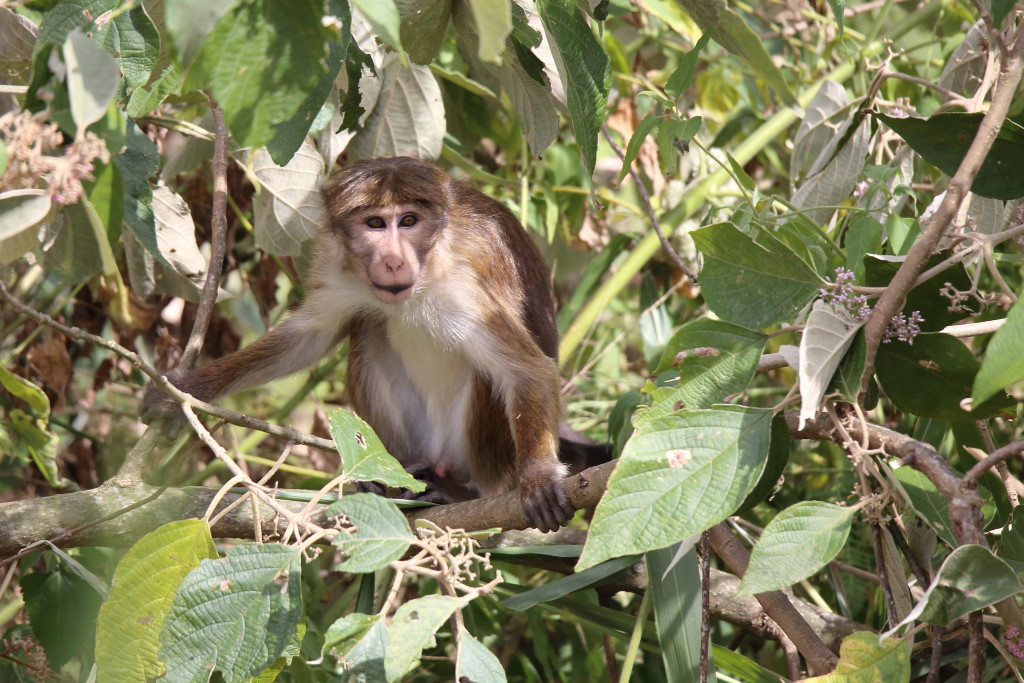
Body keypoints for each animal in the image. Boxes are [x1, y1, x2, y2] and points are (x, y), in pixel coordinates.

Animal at [140, 156, 581, 532]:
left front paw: (539, 476)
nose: (393, 260)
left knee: (485, 378)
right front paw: (186, 389)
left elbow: (525, 371)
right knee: (369, 331)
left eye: (408, 221)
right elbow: (310, 335)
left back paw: (462, 492)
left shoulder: (466, 288)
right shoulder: (343, 273)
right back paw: (380, 478)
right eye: (374, 223)